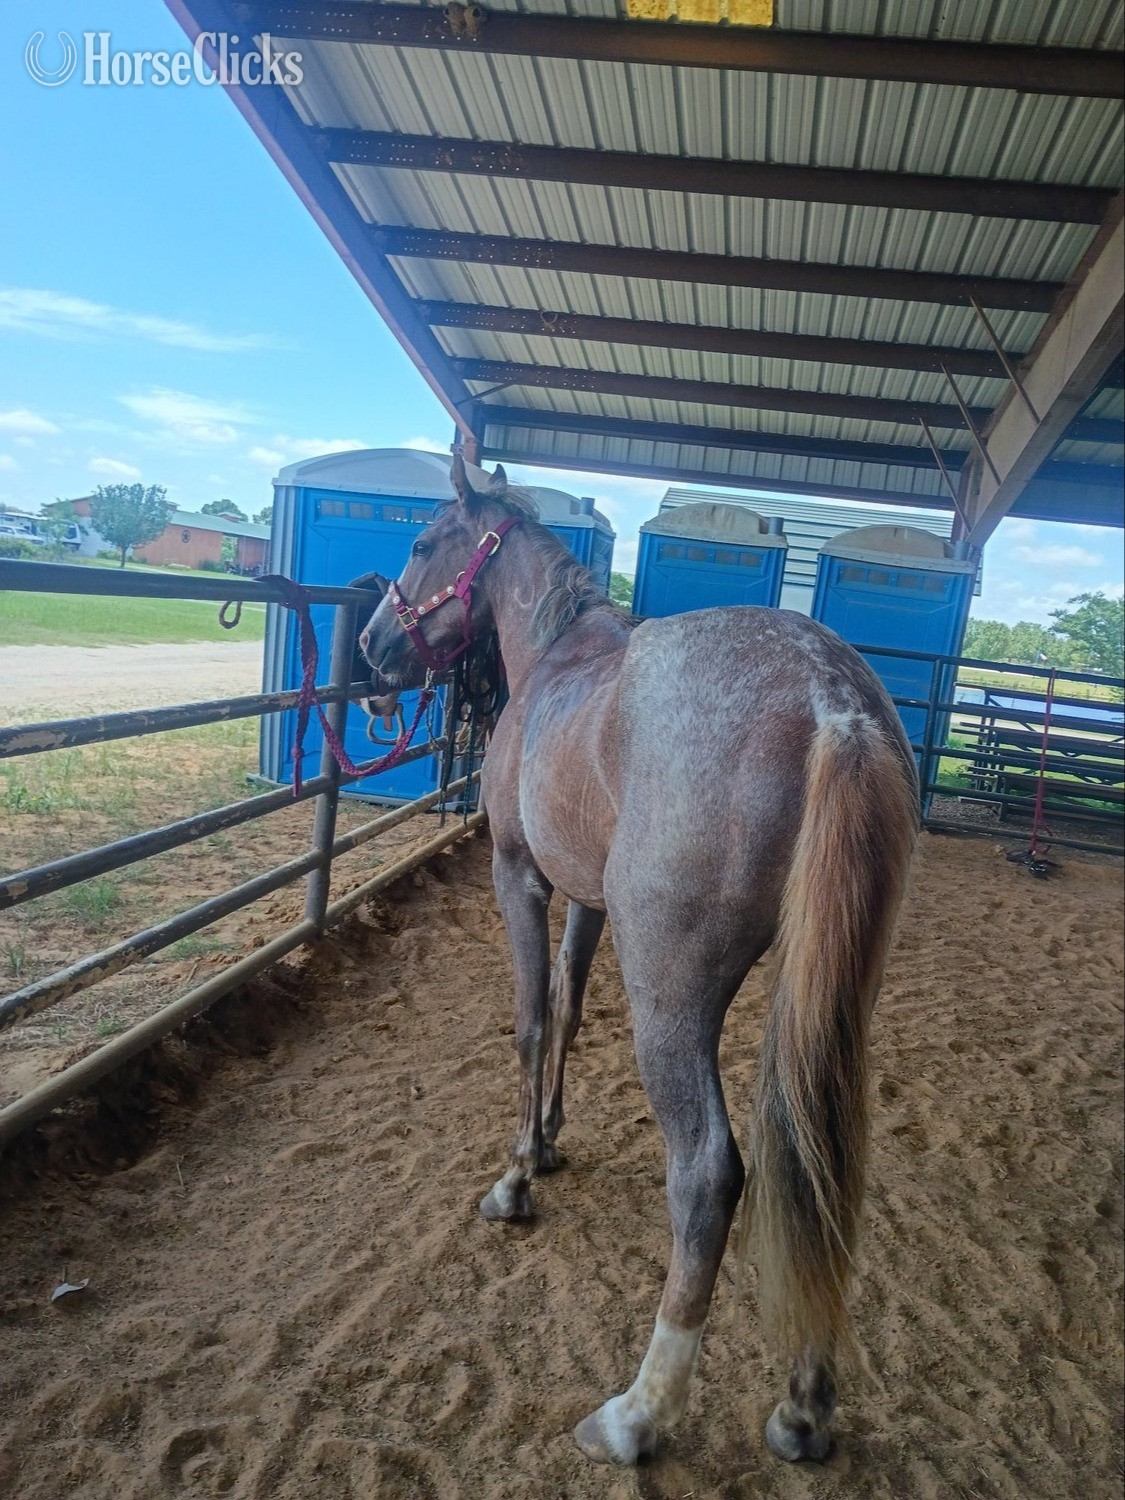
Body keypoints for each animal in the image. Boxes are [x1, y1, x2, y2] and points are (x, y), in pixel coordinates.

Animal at [359, 457, 918, 1467]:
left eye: (421, 541)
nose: (374, 646)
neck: (556, 658)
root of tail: (833, 704)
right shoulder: (584, 897)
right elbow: (569, 1008)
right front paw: (547, 1137)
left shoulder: (519, 876)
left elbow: (529, 1018)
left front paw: (516, 1178)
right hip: (826, 999)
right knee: (816, 1160)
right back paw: (803, 1406)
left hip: (671, 990)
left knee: (708, 1173)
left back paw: (639, 1412)